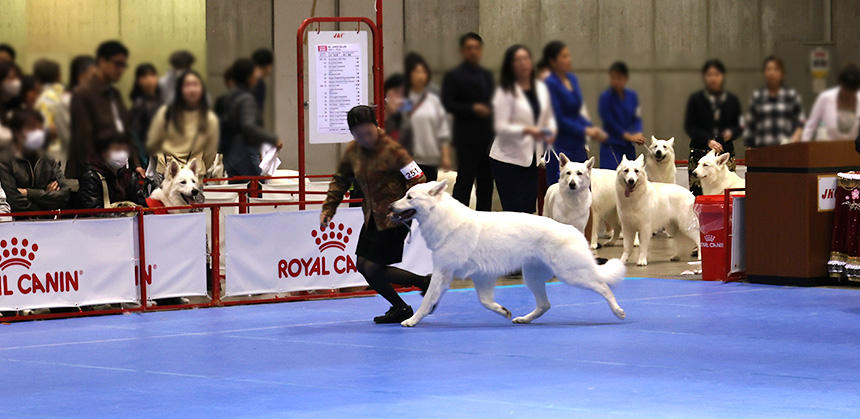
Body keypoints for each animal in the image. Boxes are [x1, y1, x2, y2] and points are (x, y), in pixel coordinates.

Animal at [388, 180, 624, 328]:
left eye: (409, 197)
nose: (390, 206)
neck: (441, 217)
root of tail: (572, 230)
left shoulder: (443, 273)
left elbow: (427, 299)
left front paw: (412, 320)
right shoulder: (481, 277)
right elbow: (484, 301)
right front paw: (502, 310)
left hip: (571, 274)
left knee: (603, 286)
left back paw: (617, 310)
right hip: (533, 277)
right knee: (544, 305)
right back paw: (524, 319)